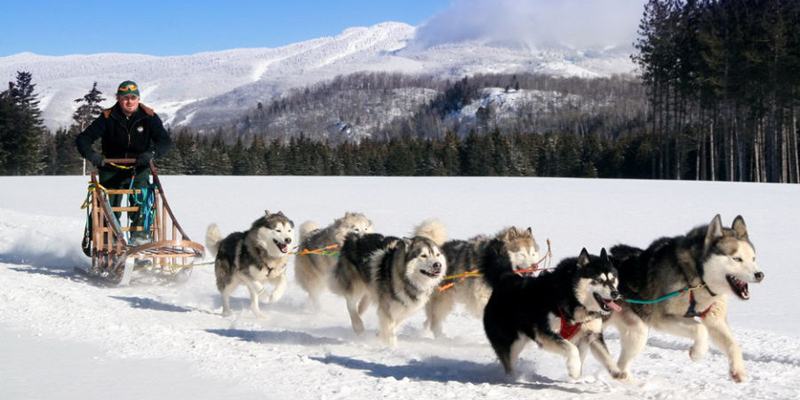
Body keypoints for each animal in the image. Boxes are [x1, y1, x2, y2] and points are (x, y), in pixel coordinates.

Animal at [482, 241, 624, 382]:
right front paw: (574, 368)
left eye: (612, 279)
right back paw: (513, 378)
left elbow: (606, 355)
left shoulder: (593, 334)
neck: (573, 299)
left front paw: (617, 372)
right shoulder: (545, 333)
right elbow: (572, 349)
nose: (615, 293)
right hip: (513, 342)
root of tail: (506, 278)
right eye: (599, 280)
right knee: (509, 363)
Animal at [608, 214, 764, 382]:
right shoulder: (661, 318)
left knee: (622, 366)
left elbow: (732, 343)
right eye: (737, 259)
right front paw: (697, 353)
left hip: (637, 332)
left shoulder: (715, 319)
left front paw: (737, 370)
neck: (698, 280)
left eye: (753, 258)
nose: (760, 274)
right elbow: (701, 329)